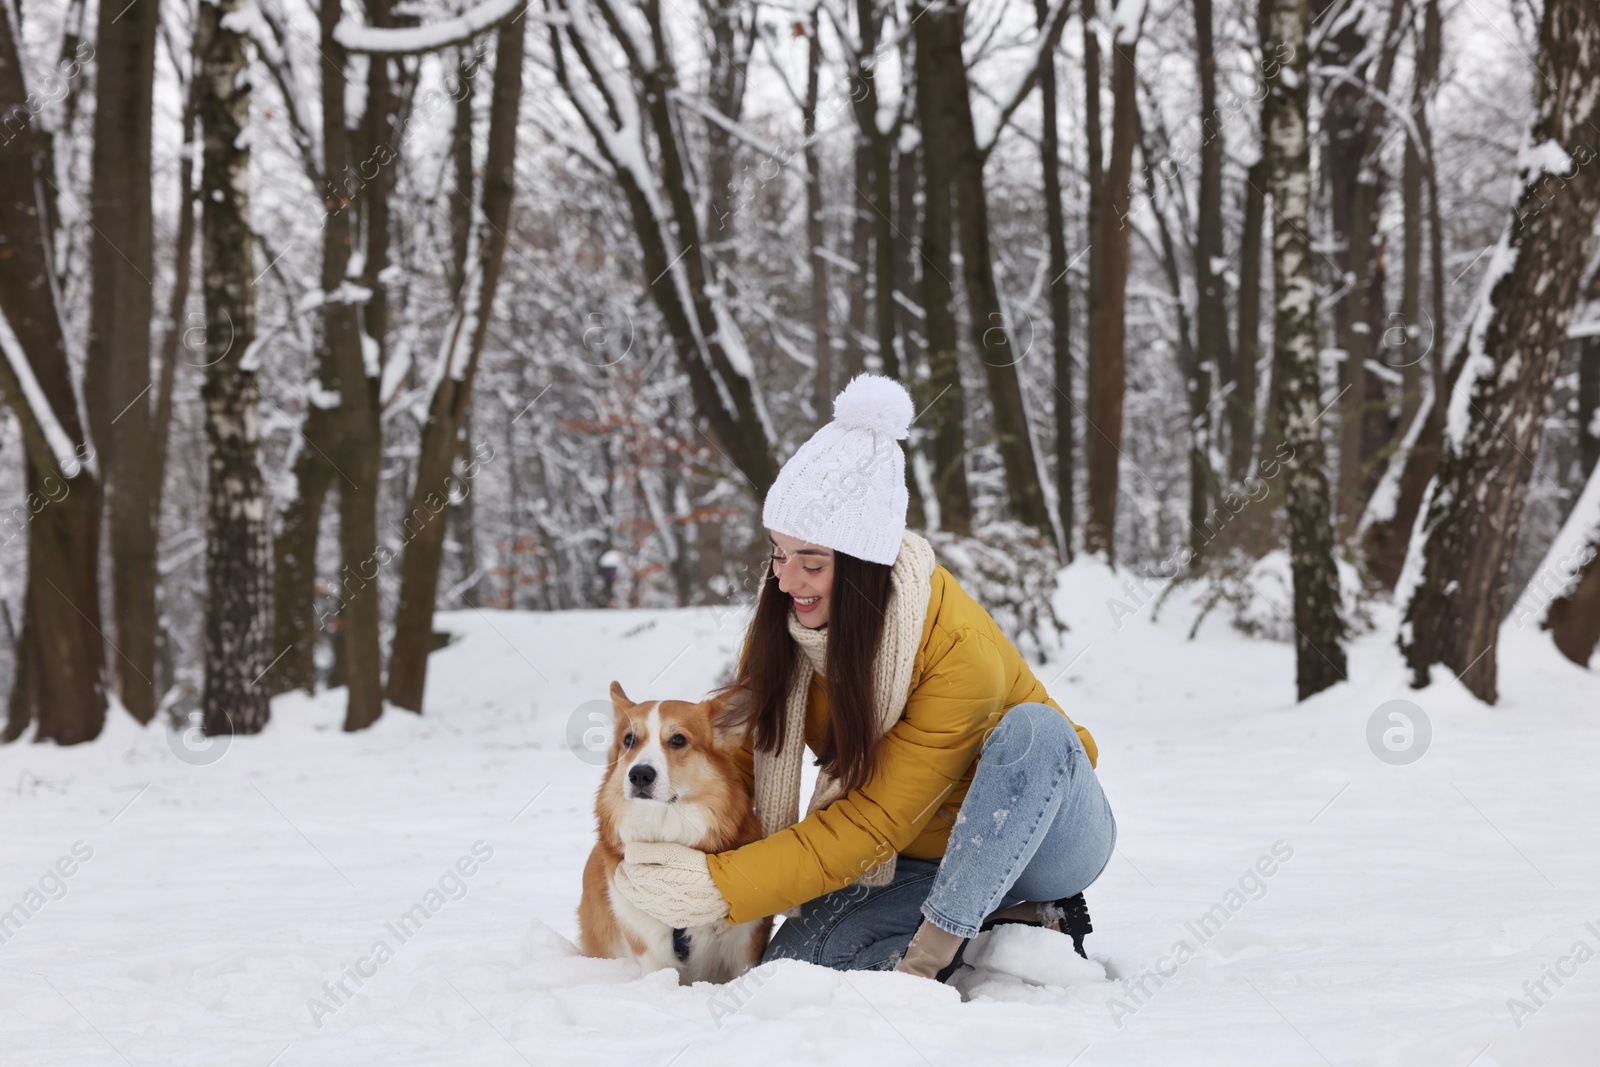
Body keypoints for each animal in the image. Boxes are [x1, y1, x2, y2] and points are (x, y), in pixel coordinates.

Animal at [579, 684, 771, 985]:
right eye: (629, 739)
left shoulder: (744, 943)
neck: (667, 831)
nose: (640, 775)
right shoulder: (649, 946)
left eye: (678, 740)